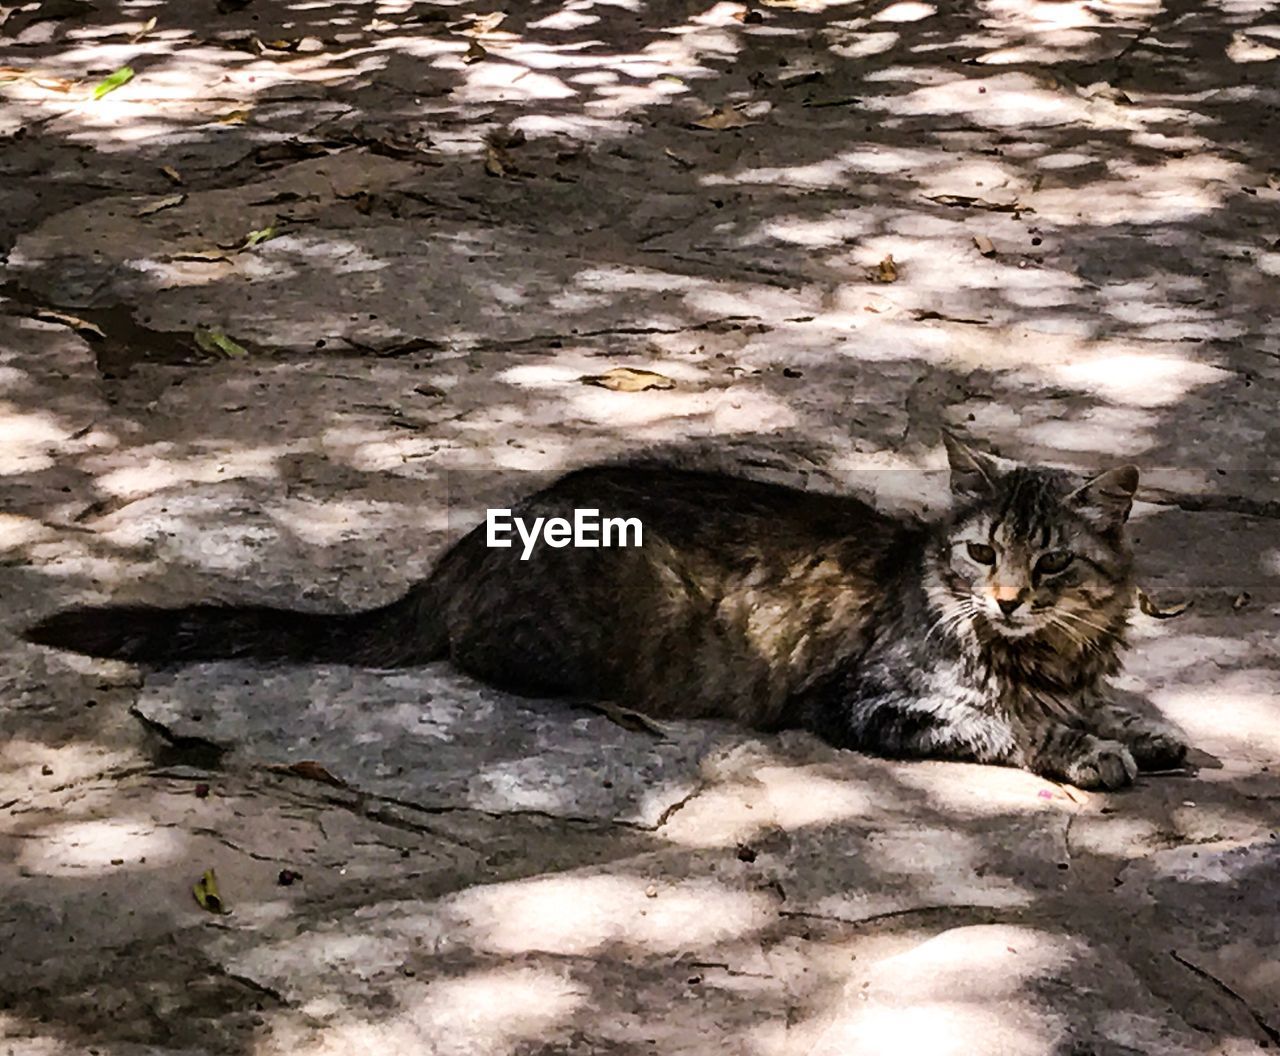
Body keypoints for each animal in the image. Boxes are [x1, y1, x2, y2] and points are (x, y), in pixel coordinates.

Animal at [24, 432, 1187, 788]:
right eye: (983, 553)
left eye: (1049, 566)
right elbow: (1000, 723)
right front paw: (1082, 747)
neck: (1047, 656)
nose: (1005, 601)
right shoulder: (859, 701)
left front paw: (1137, 727)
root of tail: (468, 545)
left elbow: (1107, 704)